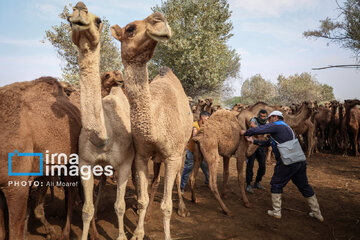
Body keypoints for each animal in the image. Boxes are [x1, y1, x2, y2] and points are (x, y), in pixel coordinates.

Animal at [68, 2, 134, 240]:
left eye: (98, 21)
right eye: (68, 18)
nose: (79, 8)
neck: (105, 136)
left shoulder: (124, 164)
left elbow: (120, 205)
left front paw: (122, 235)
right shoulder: (85, 164)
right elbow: (85, 210)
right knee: (103, 183)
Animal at [111, 12, 193, 239]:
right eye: (130, 29)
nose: (159, 20)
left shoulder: (172, 155)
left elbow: (166, 206)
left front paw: (167, 234)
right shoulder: (141, 155)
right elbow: (142, 199)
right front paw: (138, 232)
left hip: (183, 147)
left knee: (177, 178)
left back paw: (183, 208)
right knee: (156, 179)